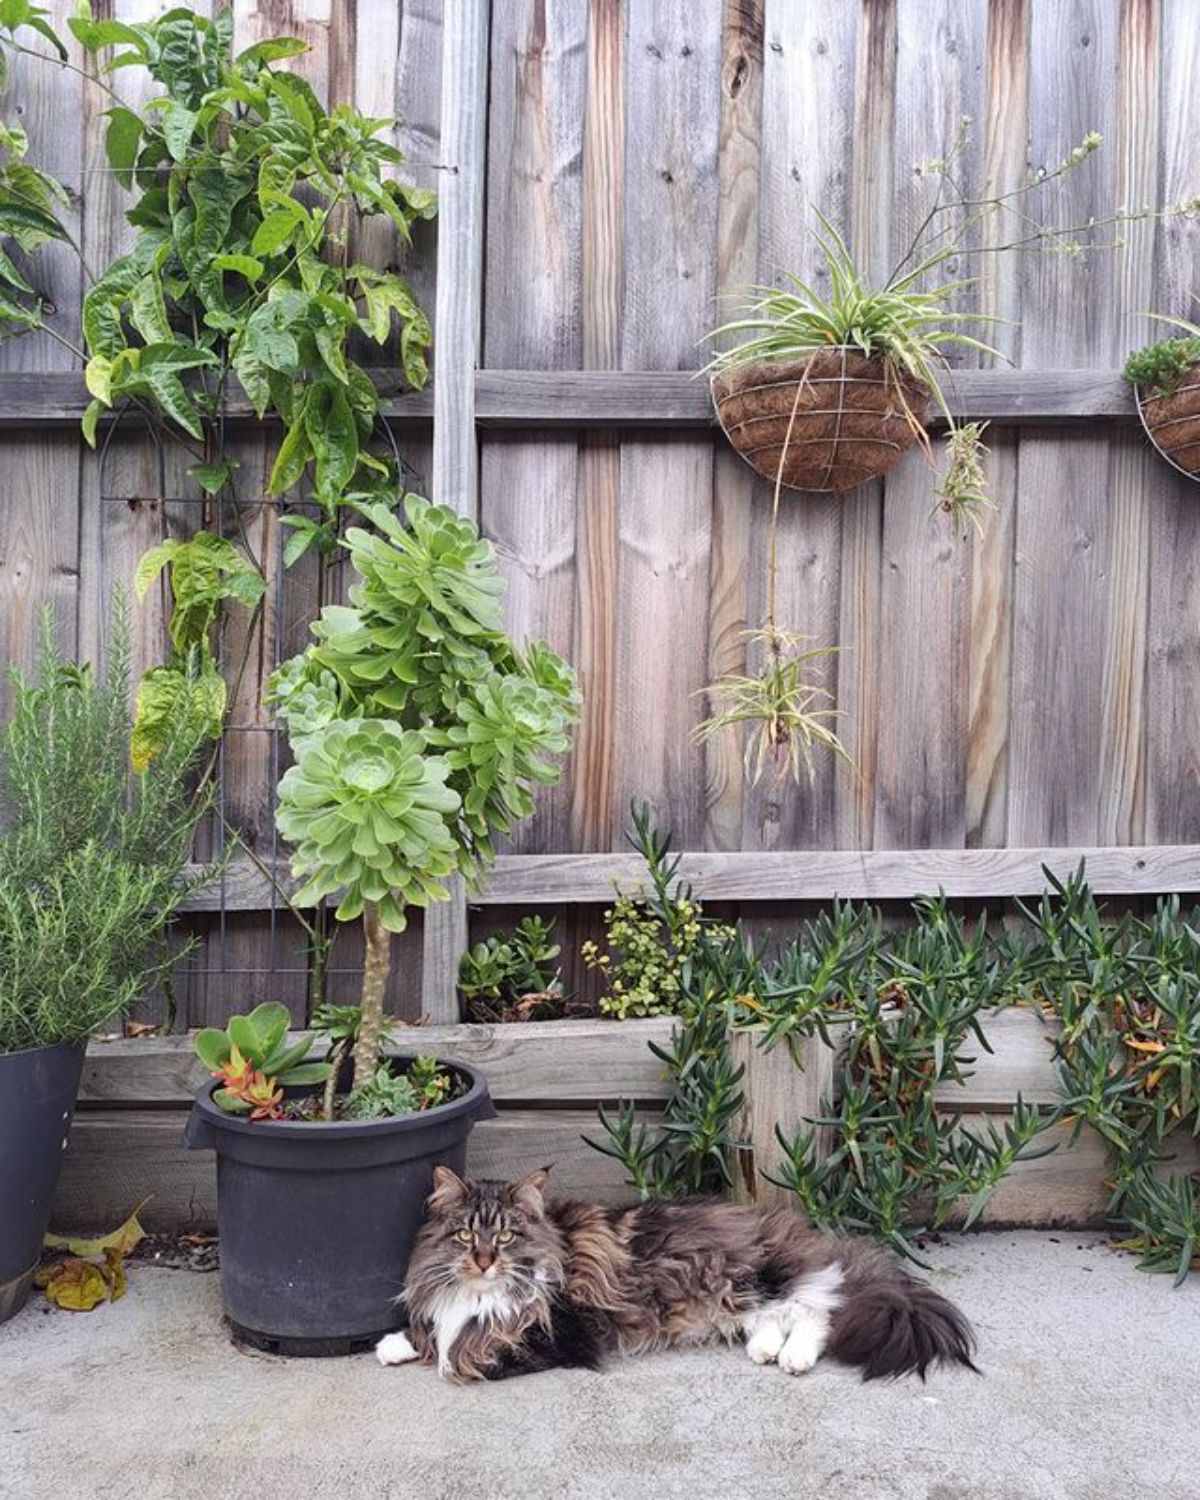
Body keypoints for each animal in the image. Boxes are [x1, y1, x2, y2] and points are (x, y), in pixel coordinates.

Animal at [375, 1170, 972, 1380]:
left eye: (504, 1237)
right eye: (465, 1236)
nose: (483, 1261)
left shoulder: (562, 1333)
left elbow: (460, 1353)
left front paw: (436, 1352)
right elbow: (436, 1333)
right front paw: (395, 1345)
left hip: (759, 1278)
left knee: (821, 1307)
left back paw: (795, 1358)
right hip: (741, 1299)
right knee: (777, 1319)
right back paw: (767, 1351)